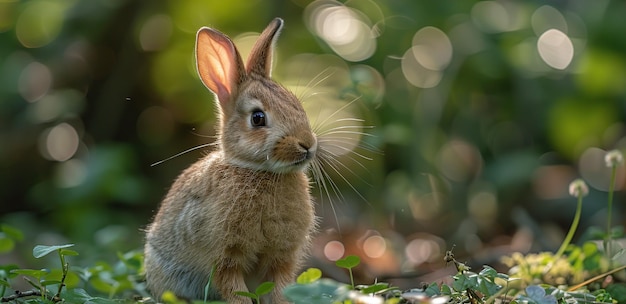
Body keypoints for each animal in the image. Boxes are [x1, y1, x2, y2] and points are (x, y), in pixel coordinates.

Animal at [143, 17, 316, 302]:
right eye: (258, 118)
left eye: (297, 106)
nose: (308, 145)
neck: (259, 171)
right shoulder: (225, 257)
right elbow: (234, 289)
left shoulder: (281, 257)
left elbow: (279, 288)